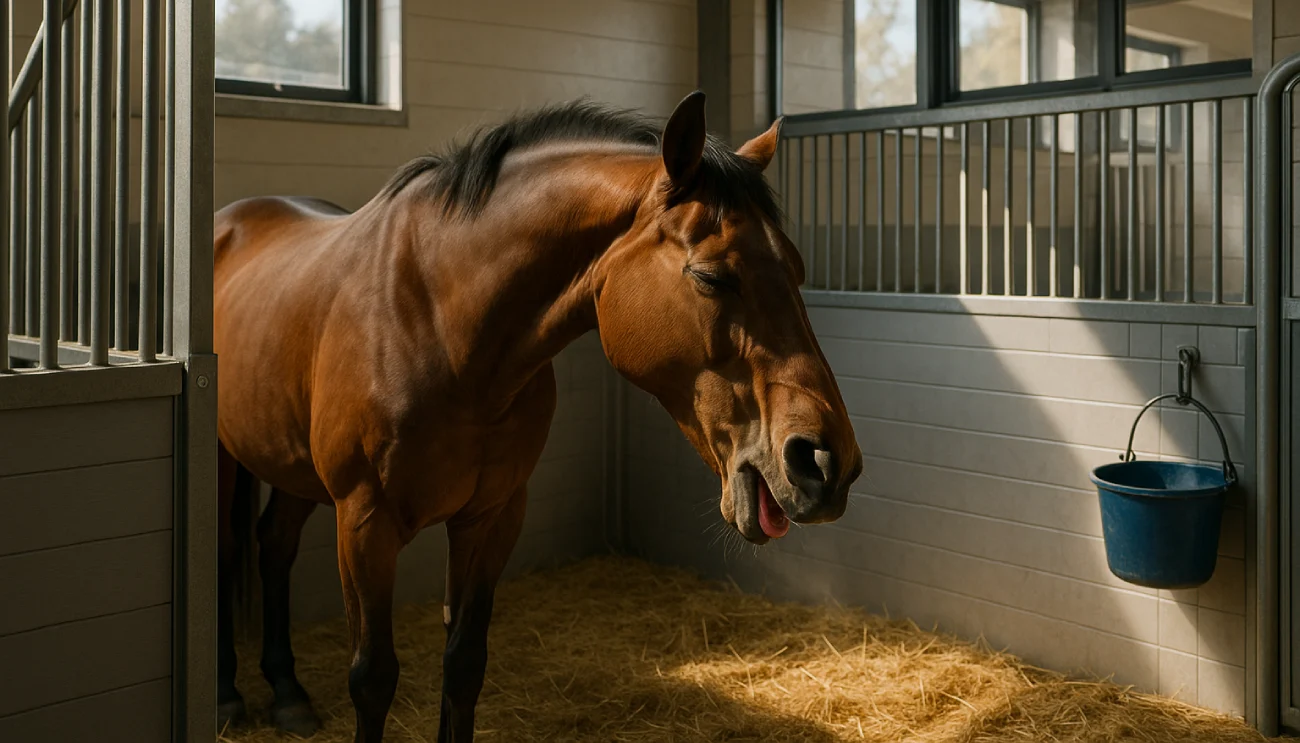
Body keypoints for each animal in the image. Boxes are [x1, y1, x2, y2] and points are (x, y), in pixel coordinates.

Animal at [212, 91, 863, 743]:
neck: (439, 325)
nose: (827, 462)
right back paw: (227, 697)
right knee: (227, 550)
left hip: (294, 465)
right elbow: (372, 678)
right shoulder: (364, 522)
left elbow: (464, 663)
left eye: (797, 271)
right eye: (712, 276)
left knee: (274, 545)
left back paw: (288, 693)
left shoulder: (492, 516)